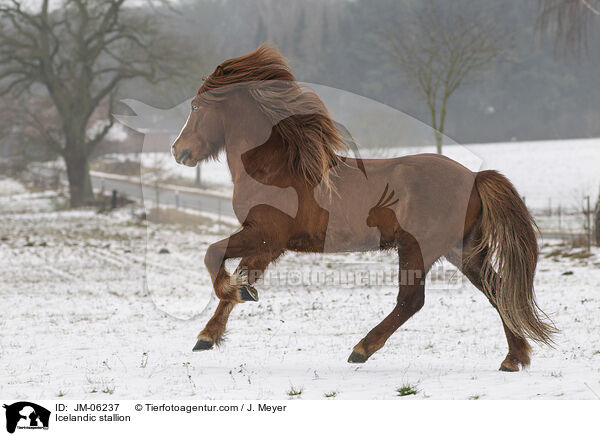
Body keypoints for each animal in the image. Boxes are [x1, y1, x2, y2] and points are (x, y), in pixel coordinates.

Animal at [171, 43, 556, 372]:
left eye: (195, 107)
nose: (178, 150)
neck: (275, 168)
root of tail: (475, 177)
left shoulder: (265, 234)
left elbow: (213, 256)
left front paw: (229, 305)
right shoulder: (268, 245)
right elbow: (237, 276)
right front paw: (210, 333)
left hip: (418, 247)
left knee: (412, 300)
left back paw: (361, 349)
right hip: (460, 249)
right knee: (496, 288)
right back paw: (514, 358)